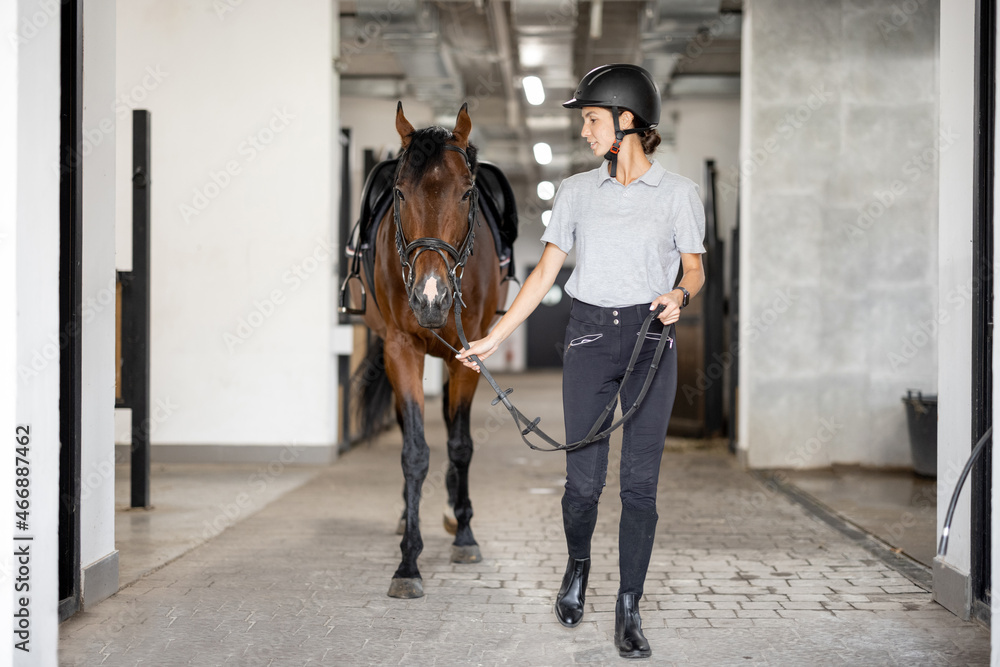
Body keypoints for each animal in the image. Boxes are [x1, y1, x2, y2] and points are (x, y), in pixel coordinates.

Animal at [352, 104, 508, 600]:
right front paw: (408, 560)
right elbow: (415, 452)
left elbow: (460, 445)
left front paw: (465, 535)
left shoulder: (471, 354)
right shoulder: (401, 350)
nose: (431, 297)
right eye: (400, 192)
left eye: (467, 192)